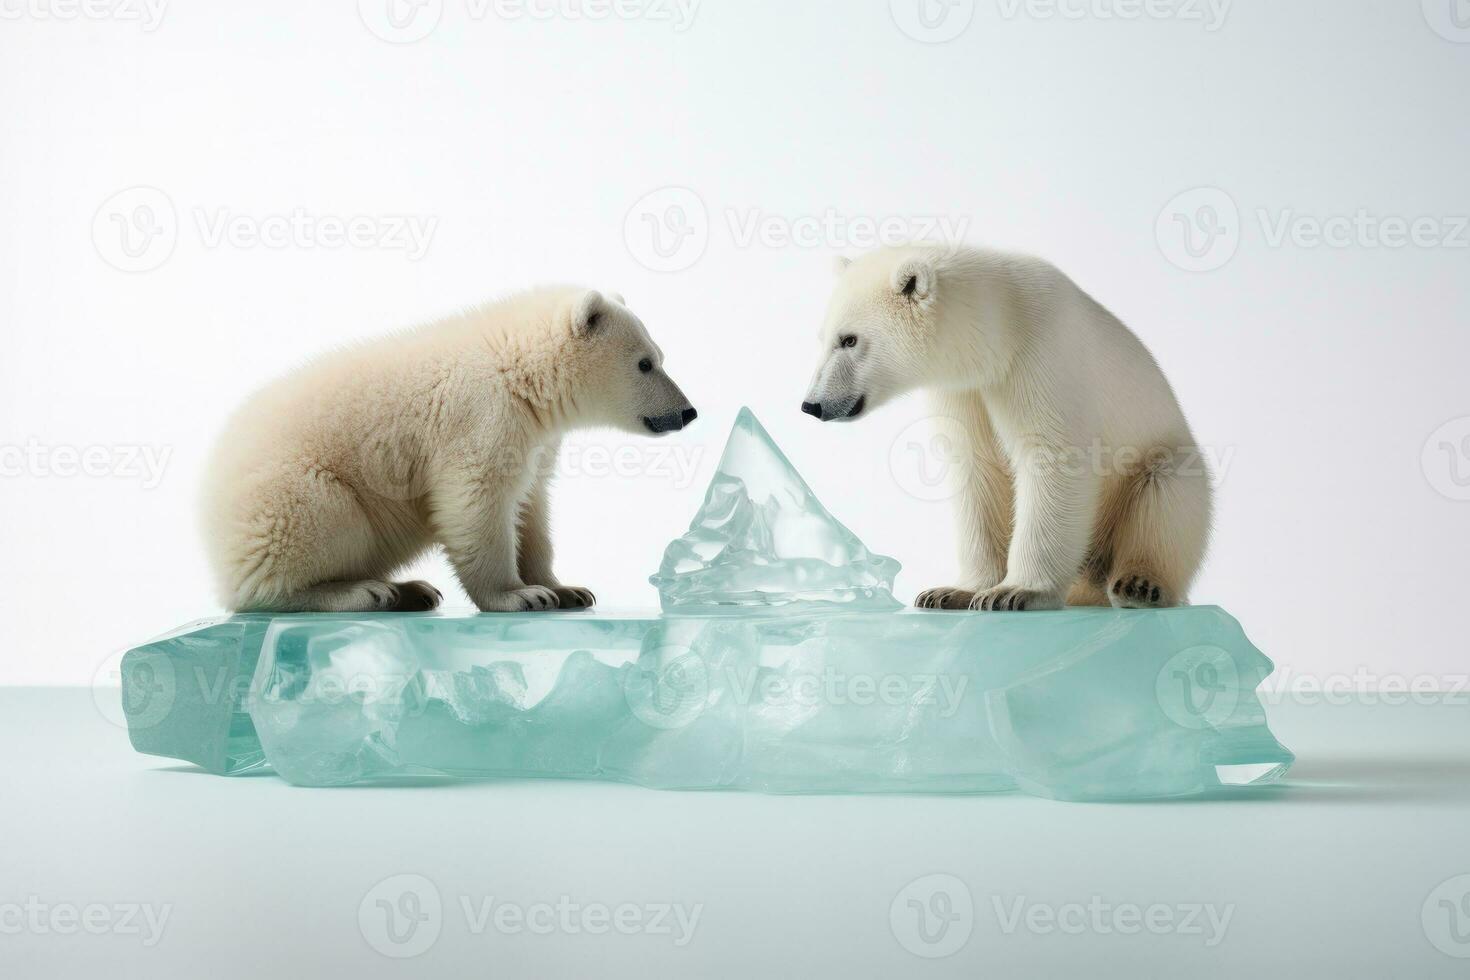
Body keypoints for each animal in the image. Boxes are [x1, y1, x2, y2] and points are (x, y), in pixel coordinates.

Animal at [202, 283, 699, 617]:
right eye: (645, 363)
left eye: (660, 356)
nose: (688, 411)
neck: (518, 369)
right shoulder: (480, 416)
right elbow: (475, 502)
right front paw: (518, 595)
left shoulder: (534, 437)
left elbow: (531, 508)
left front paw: (566, 589)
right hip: (285, 493)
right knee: (313, 524)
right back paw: (362, 592)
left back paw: (410, 590)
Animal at [811, 245, 1211, 608]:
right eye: (824, 338)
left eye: (849, 339)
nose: (812, 405)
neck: (1002, 326)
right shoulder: (965, 389)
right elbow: (979, 470)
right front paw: (952, 592)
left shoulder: (1042, 356)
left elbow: (1053, 457)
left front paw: (1016, 592)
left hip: (1162, 457)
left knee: (1166, 493)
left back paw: (1139, 585)